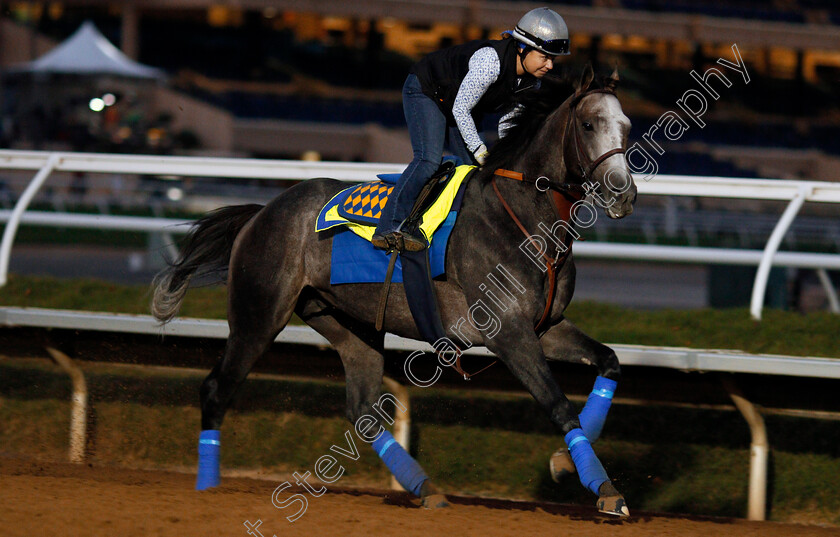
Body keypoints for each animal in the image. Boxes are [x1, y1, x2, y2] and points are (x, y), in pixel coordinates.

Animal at [151, 66, 636, 516]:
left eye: (627, 125)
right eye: (589, 124)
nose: (623, 193)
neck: (520, 220)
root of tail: (262, 212)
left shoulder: (545, 326)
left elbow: (609, 362)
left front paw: (569, 465)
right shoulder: (508, 332)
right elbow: (558, 403)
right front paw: (603, 487)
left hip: (348, 323)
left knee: (364, 410)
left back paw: (427, 489)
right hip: (259, 313)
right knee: (217, 388)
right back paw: (207, 489)